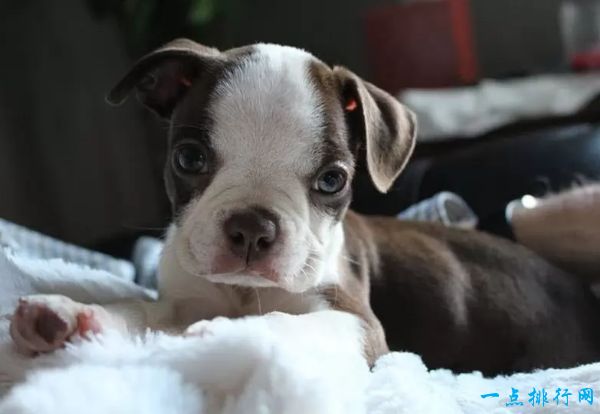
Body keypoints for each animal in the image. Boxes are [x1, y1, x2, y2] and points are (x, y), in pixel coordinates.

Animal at [9, 39, 600, 376]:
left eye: (332, 180)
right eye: (189, 158)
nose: (251, 227)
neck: (242, 293)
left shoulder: (356, 323)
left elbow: (287, 324)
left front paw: (233, 336)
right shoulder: (181, 300)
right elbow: (138, 311)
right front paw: (69, 317)